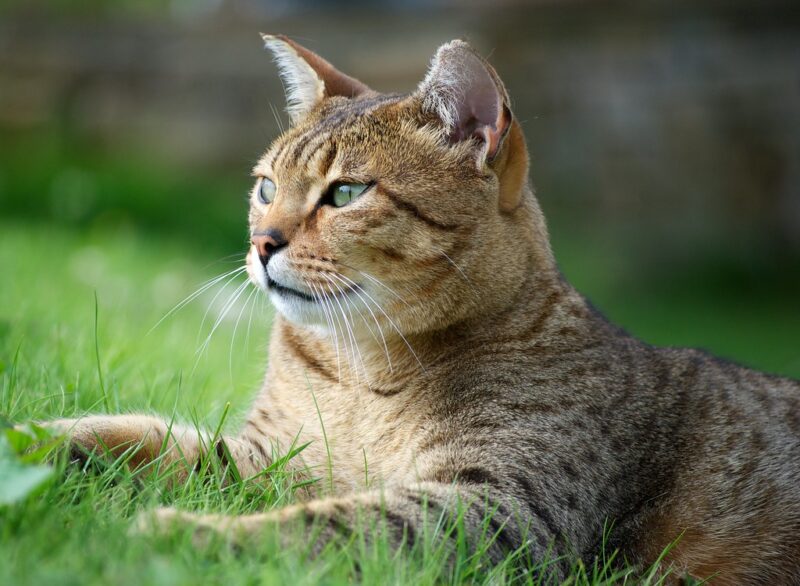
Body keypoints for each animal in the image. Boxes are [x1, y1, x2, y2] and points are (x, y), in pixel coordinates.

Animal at [47, 37, 800, 584]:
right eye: (265, 187)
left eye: (345, 193)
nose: (262, 244)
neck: (358, 373)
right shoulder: (265, 456)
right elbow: (139, 436)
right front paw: (41, 438)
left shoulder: (499, 509)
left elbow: (326, 525)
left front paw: (182, 531)